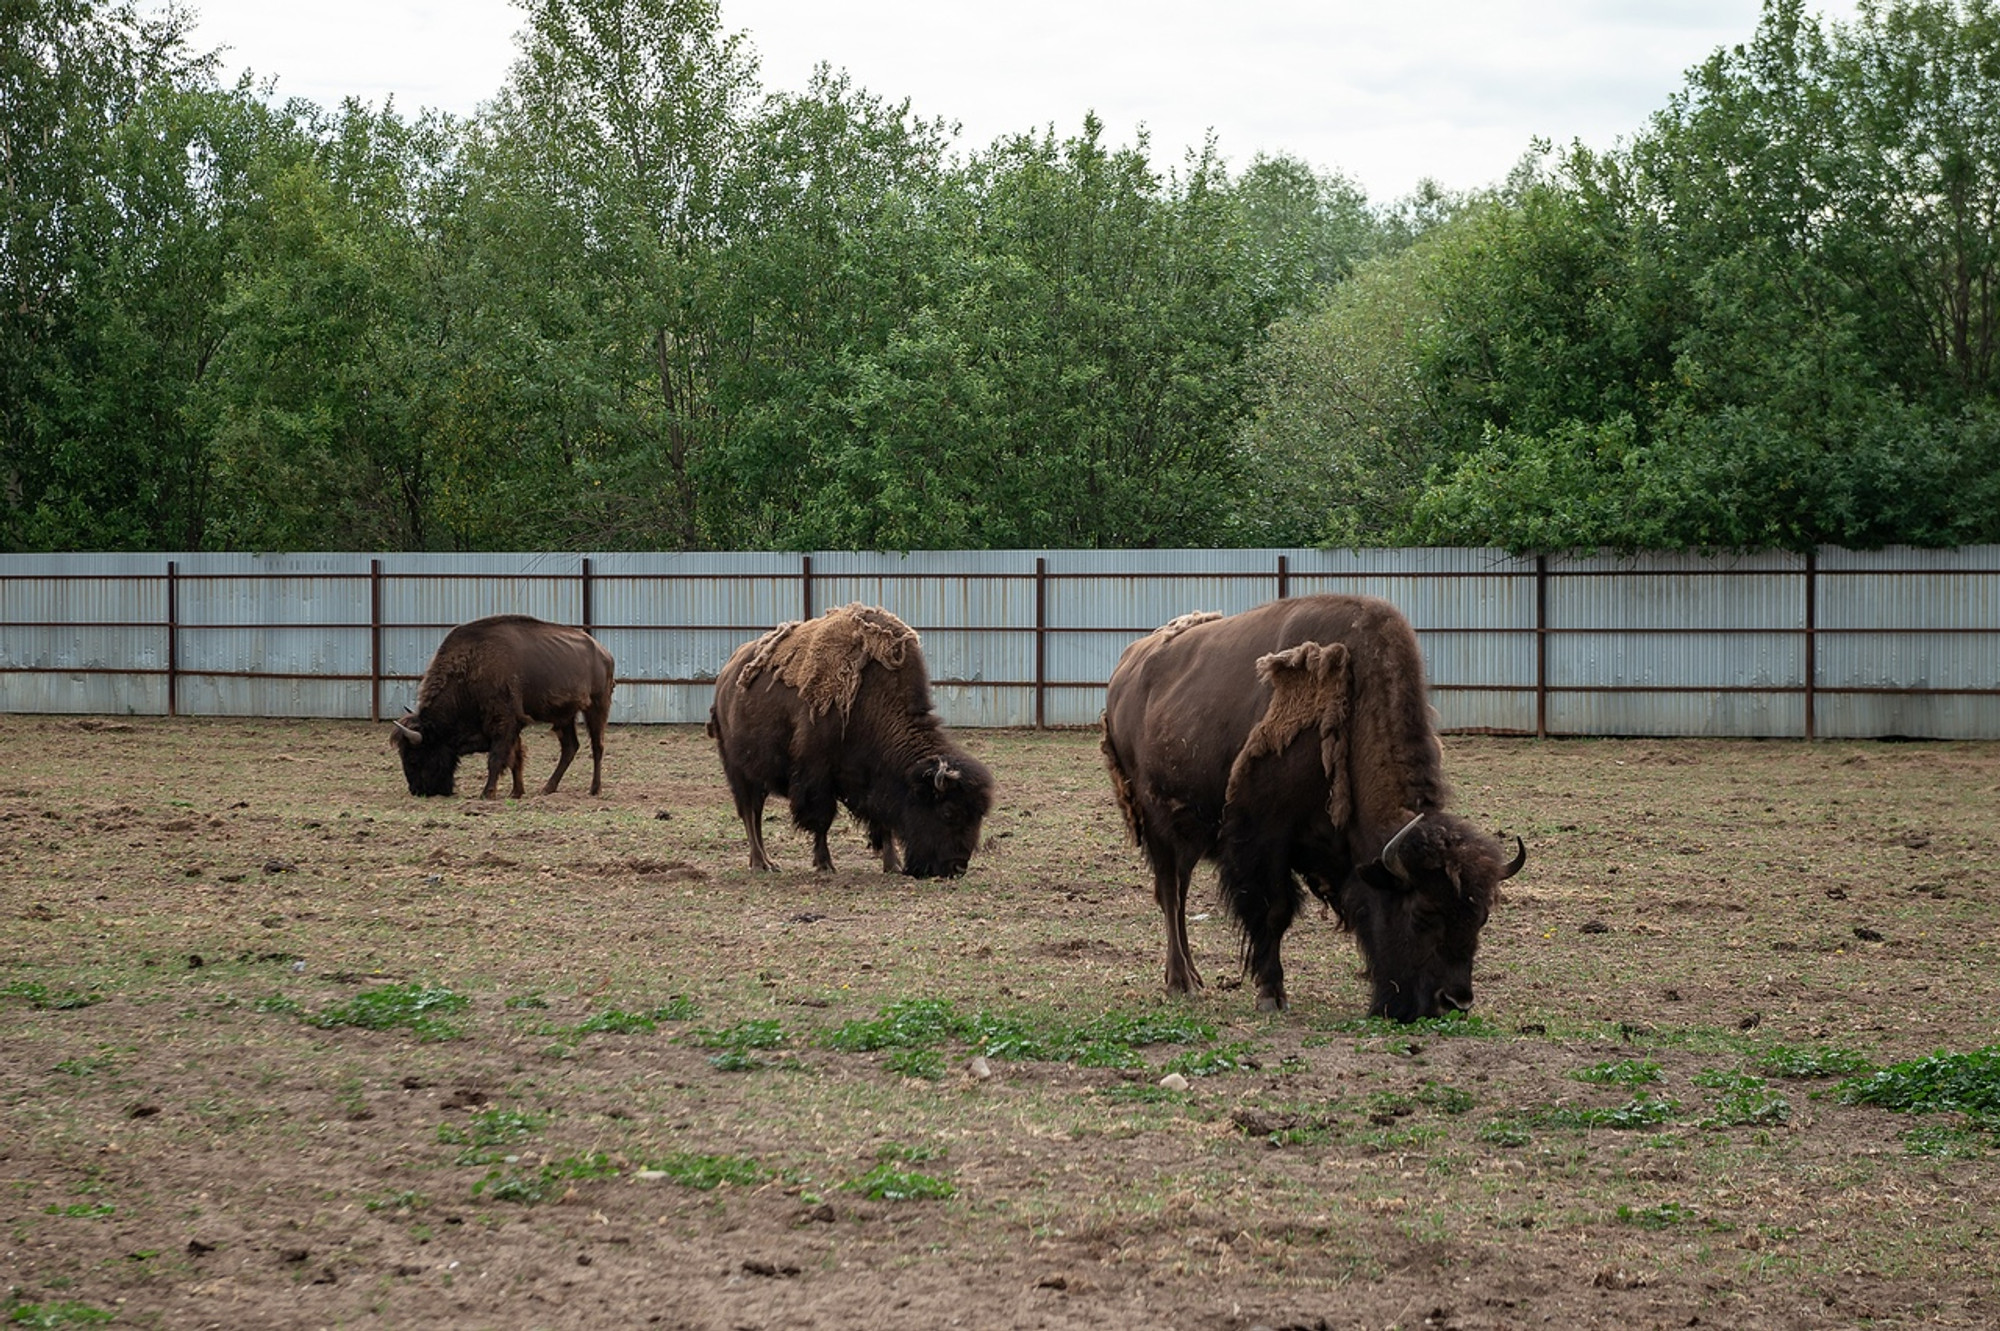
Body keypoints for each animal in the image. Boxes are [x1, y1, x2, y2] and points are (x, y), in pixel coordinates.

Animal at [388, 615, 608, 799]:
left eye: (413, 758)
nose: (417, 791)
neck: (471, 666)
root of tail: (603, 652)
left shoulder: (505, 722)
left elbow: (497, 758)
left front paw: (487, 793)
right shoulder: (511, 726)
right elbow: (515, 758)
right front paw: (516, 792)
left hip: (596, 707)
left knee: (597, 747)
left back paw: (594, 789)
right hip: (563, 716)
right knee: (570, 747)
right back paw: (547, 788)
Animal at [708, 599, 996, 871]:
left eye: (978, 815)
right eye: (948, 812)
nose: (957, 866)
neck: (874, 702)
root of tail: (725, 680)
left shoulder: (875, 780)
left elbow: (883, 822)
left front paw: (892, 864)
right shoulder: (817, 776)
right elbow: (822, 820)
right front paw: (825, 863)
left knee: (755, 813)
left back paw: (768, 862)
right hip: (739, 771)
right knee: (750, 812)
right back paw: (760, 863)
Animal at [1104, 591, 1520, 1015]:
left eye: (1481, 917)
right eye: (1422, 913)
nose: (1454, 1001)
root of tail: (1127, 668)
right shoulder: (1265, 837)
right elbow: (1274, 912)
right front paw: (1271, 995)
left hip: (1186, 838)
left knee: (1180, 894)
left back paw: (1193, 976)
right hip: (1157, 827)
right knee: (1170, 894)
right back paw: (1180, 982)